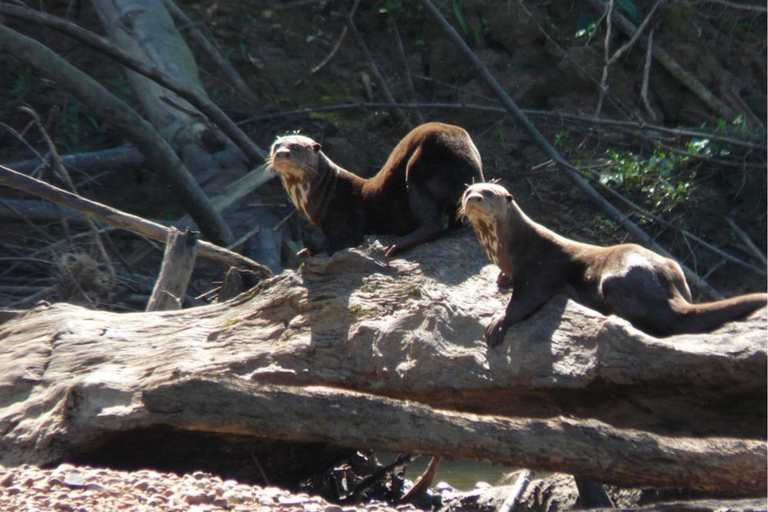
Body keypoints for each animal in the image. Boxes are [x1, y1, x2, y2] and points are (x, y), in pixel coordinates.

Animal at [267, 122, 484, 256]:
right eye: (276, 145)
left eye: (296, 147)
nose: (282, 153)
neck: (325, 193)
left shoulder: (342, 219)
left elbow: (343, 244)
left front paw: (312, 253)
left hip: (418, 166)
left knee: (434, 224)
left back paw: (396, 246)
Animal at [459, 182, 768, 347]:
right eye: (469, 191)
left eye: (488, 193)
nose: (473, 198)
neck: (509, 247)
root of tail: (671, 291)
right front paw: (502, 277)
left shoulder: (538, 269)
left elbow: (525, 302)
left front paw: (499, 322)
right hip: (675, 268)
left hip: (615, 279)